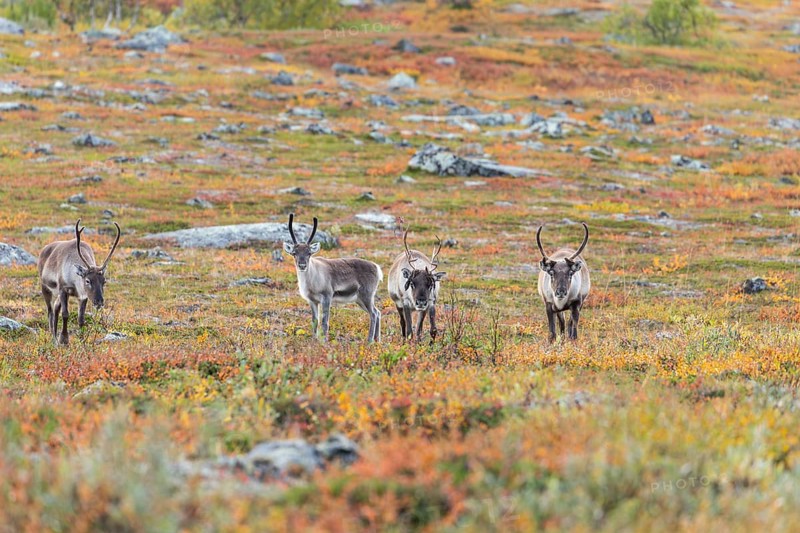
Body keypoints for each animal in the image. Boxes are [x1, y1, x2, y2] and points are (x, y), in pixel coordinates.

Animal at [283, 213, 382, 343]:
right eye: (294, 253)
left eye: (309, 253)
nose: (302, 265)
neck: (310, 281)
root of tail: (376, 267)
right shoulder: (312, 301)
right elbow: (314, 321)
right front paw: (314, 340)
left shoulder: (327, 297)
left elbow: (325, 322)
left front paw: (324, 341)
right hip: (359, 300)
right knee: (377, 312)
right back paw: (377, 340)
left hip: (367, 295)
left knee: (373, 314)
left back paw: (369, 341)